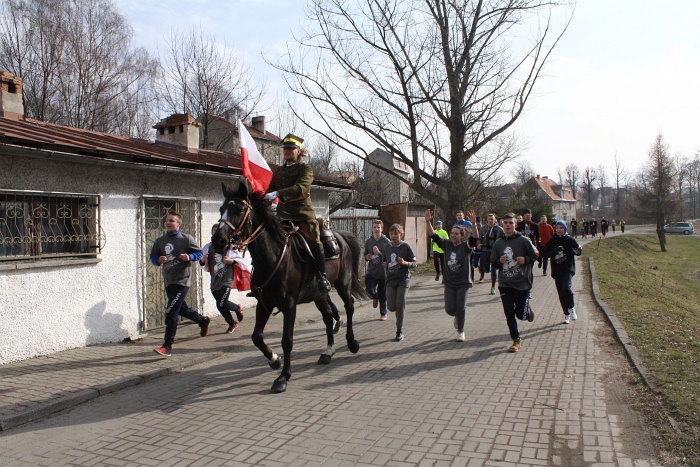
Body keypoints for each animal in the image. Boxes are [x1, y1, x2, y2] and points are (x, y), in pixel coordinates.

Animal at [211, 181, 370, 394]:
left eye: (239, 209)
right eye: (221, 209)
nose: (218, 240)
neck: (271, 257)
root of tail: (340, 237)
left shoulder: (289, 305)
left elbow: (287, 341)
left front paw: (283, 377)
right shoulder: (264, 304)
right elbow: (256, 337)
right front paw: (274, 360)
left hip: (342, 284)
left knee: (349, 307)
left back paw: (352, 342)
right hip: (319, 294)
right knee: (328, 317)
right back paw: (328, 351)